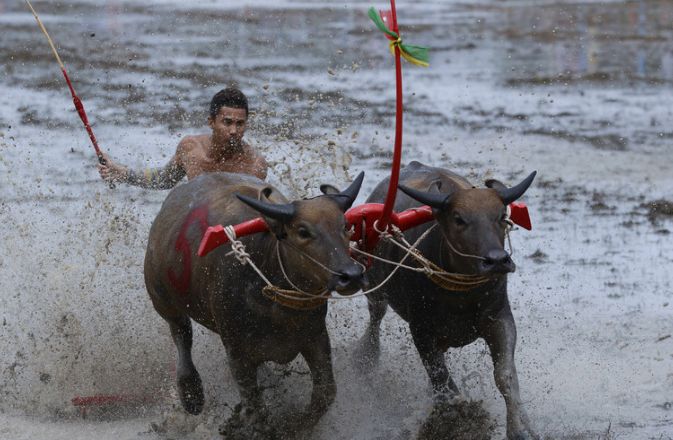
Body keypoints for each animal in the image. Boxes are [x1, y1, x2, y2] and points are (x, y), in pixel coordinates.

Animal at [144, 170, 364, 434]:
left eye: (346, 226)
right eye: (303, 231)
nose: (351, 275)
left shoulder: (316, 337)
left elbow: (326, 393)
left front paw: (294, 426)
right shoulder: (237, 352)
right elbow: (256, 409)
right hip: (164, 302)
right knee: (181, 337)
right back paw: (191, 394)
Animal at [354, 160, 540, 438]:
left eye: (500, 216)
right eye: (459, 219)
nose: (497, 260)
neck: (462, 295)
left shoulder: (500, 318)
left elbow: (505, 375)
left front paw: (520, 428)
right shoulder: (421, 329)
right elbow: (443, 381)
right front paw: (458, 419)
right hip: (377, 290)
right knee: (375, 319)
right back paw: (364, 358)